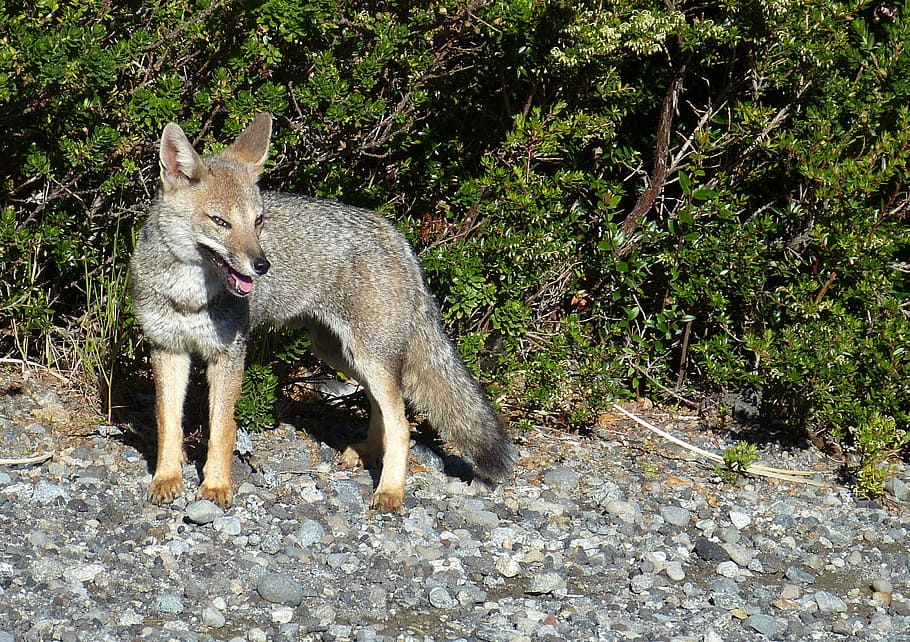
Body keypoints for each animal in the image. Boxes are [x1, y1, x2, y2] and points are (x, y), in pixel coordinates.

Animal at [129, 112, 512, 511]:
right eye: (221, 221)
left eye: (258, 221)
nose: (262, 265)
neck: (187, 296)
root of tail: (396, 235)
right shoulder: (167, 350)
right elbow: (168, 425)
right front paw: (166, 479)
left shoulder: (229, 355)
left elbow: (222, 429)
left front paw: (216, 486)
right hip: (341, 355)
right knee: (383, 406)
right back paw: (368, 452)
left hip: (368, 358)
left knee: (402, 423)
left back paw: (390, 491)